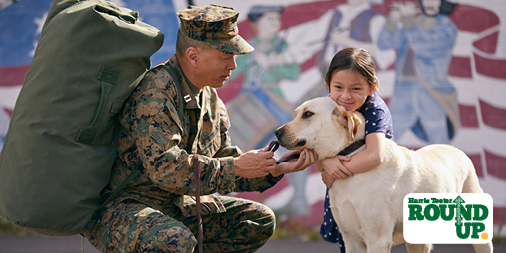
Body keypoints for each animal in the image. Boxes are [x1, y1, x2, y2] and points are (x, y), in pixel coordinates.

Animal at [274, 97, 492, 253]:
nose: (276, 132)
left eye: (308, 114)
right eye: (297, 113)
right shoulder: (351, 240)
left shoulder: (377, 239)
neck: (351, 156)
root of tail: (456, 150)